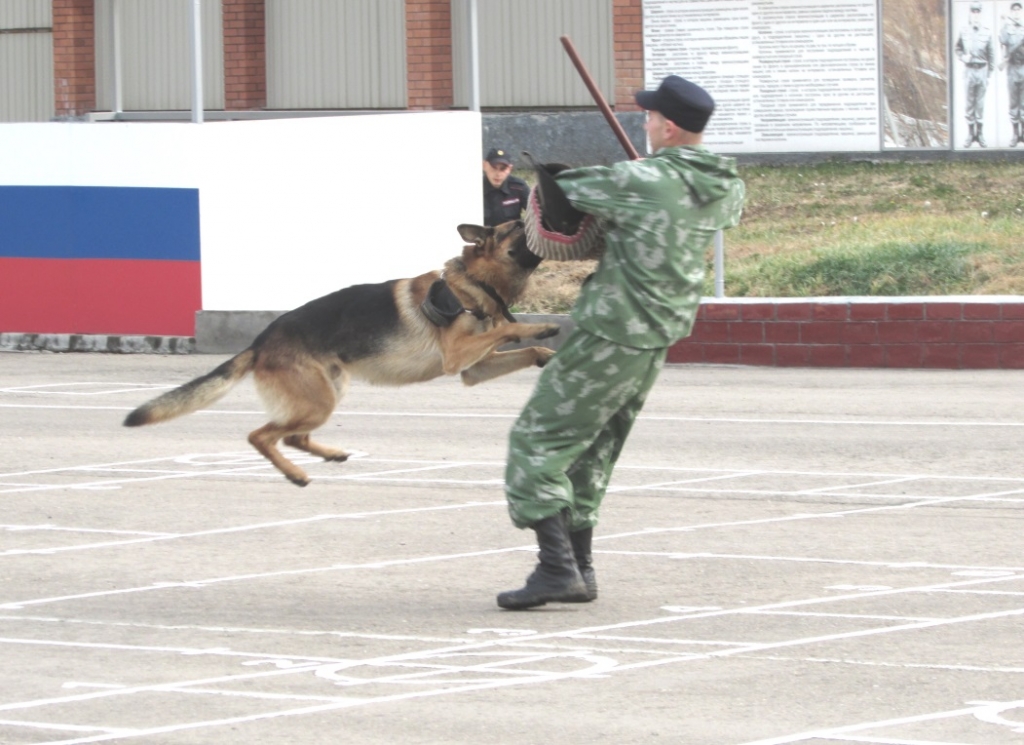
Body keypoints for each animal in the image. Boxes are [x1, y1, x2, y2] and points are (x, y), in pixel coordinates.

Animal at [130, 220, 561, 489]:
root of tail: (261, 341)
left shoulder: (473, 368)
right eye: (517, 227)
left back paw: (329, 455)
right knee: (261, 435)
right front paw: (540, 328)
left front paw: (545, 355)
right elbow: (508, 329)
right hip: (317, 400)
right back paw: (296, 474)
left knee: (291, 436)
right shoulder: (457, 354)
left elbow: (523, 349)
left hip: (328, 391)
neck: (472, 283)